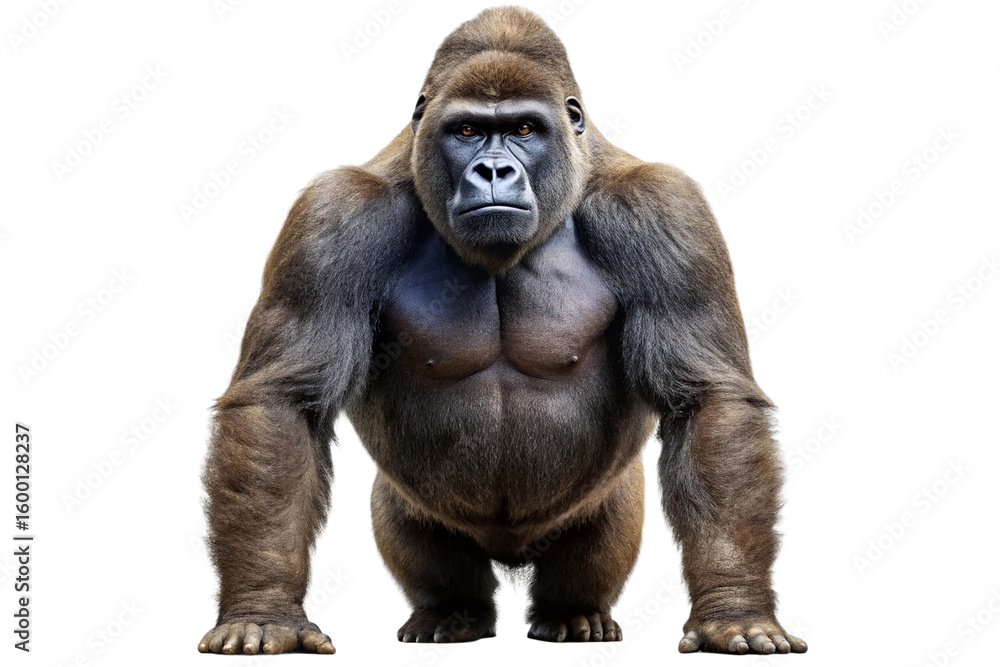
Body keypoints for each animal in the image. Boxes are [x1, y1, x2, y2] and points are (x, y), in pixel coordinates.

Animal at [198, 6, 807, 656]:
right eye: (466, 131)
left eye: (524, 129)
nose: (494, 169)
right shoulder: (332, 214)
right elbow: (283, 403)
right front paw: (264, 606)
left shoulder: (666, 209)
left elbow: (708, 402)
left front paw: (734, 605)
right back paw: (452, 612)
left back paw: (573, 612)